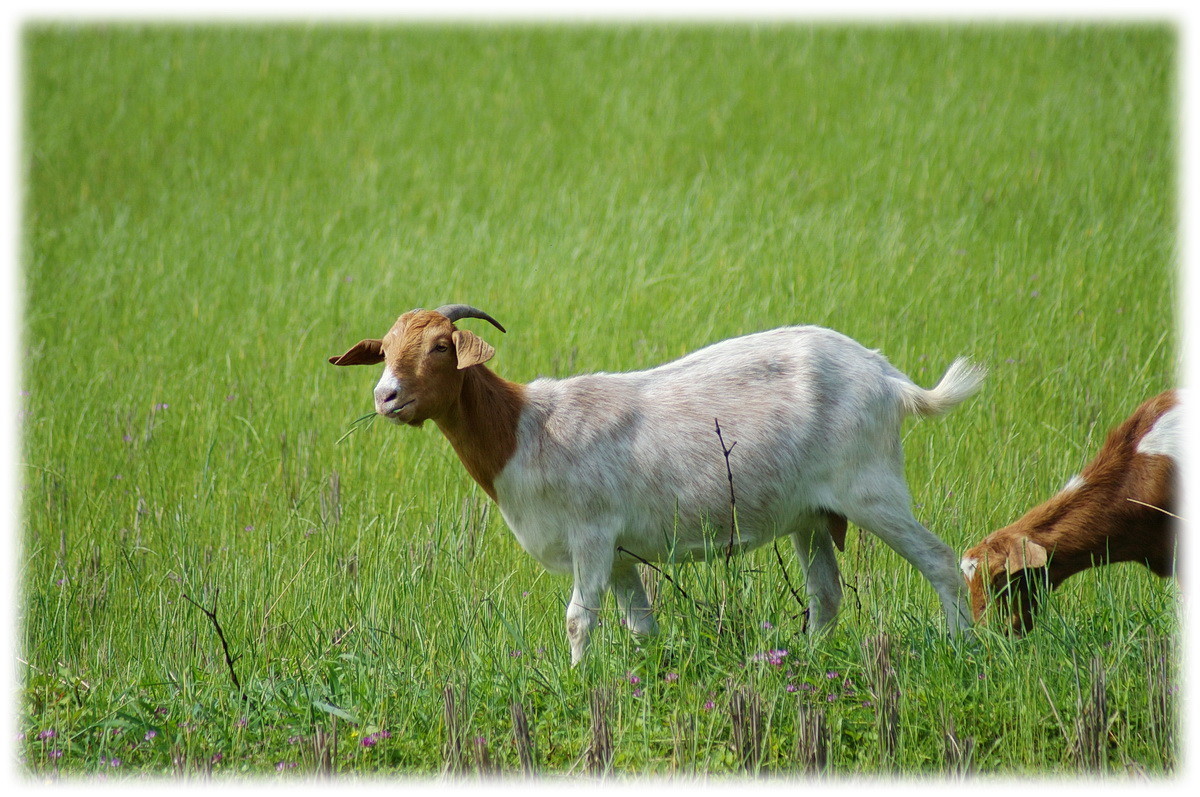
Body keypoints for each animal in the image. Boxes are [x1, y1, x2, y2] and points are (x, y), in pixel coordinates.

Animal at [328, 302, 984, 662]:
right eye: (385, 351)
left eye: (442, 346)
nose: (386, 397)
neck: (526, 428)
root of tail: (889, 378)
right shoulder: (620, 554)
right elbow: (640, 625)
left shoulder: (592, 535)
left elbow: (579, 617)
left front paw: (578, 682)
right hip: (811, 515)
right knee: (825, 595)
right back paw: (806, 661)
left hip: (871, 488)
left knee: (941, 561)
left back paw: (965, 650)